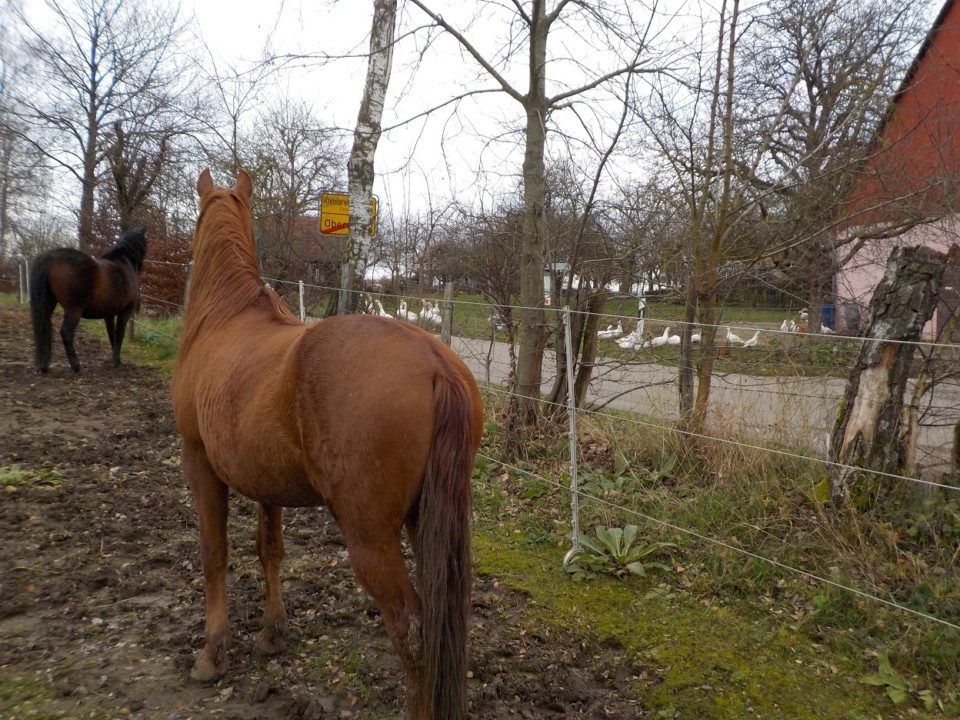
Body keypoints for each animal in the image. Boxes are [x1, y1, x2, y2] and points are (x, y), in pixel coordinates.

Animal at [29, 227, 148, 373]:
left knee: (44, 328)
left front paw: (113, 360)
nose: (141, 267)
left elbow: (112, 335)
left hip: (47, 305)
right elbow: (119, 335)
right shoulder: (124, 313)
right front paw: (117, 361)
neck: (123, 264)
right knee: (66, 332)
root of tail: (48, 258)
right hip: (74, 309)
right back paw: (76, 365)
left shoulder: (108, 315)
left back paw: (44, 366)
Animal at [171, 169, 483, 720]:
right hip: (429, 521)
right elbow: (269, 550)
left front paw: (212, 654)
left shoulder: (200, 463)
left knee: (412, 627)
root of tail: (434, 361)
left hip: (369, 537)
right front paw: (273, 635)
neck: (223, 318)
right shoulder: (265, 484)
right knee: (442, 619)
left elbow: (214, 553)